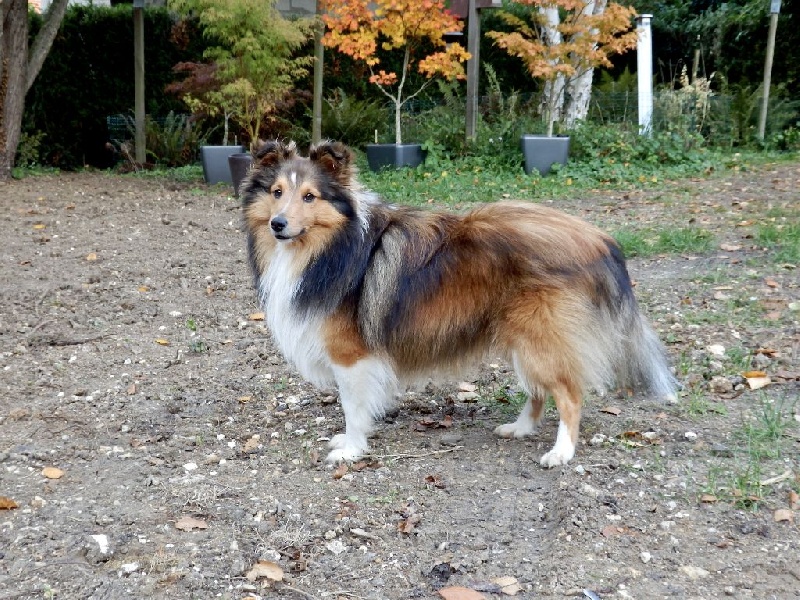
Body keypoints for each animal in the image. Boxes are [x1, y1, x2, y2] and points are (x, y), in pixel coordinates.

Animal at [240, 140, 676, 467]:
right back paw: (519, 429)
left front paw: (351, 448)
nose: (278, 224)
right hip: (523, 338)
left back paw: (560, 453)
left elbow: (352, 405)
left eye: (310, 196)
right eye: (277, 193)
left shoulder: (351, 355)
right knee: (539, 391)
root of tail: (598, 238)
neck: (331, 244)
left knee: (570, 395)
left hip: (540, 337)